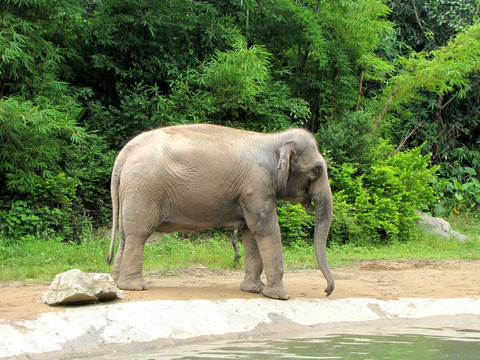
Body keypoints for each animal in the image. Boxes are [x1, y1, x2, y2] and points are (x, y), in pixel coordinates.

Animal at [107, 122, 336, 300]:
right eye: (316, 170)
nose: (326, 291)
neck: (273, 140)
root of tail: (123, 155)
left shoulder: (249, 194)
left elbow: (250, 232)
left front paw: (252, 290)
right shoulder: (256, 187)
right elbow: (266, 229)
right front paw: (280, 296)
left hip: (132, 191)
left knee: (125, 236)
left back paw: (118, 283)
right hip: (143, 189)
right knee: (138, 235)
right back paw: (135, 286)